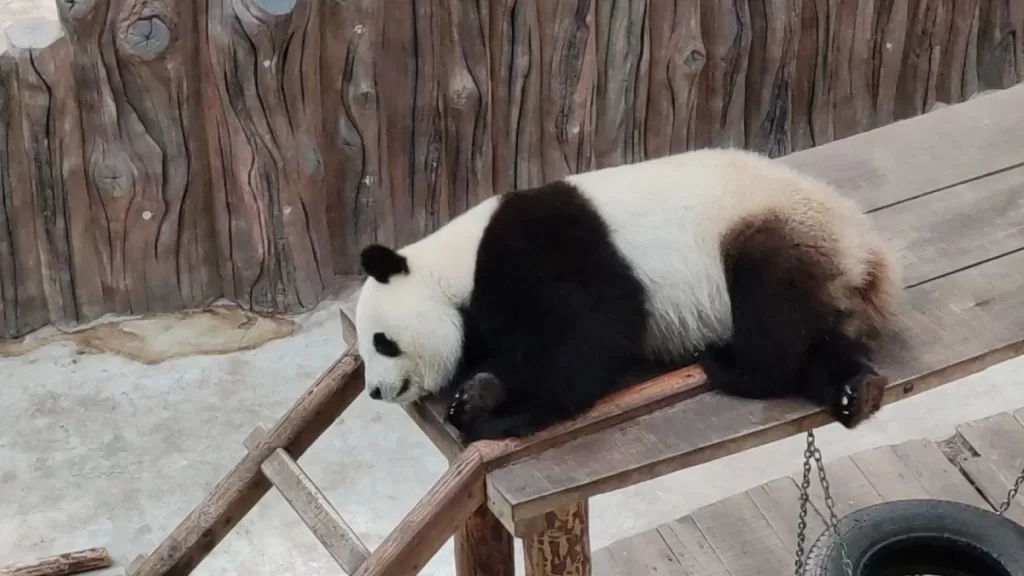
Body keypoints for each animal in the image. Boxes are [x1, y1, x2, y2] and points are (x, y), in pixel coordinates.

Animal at [354, 147, 901, 443]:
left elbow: (587, 339)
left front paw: (499, 415)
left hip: (775, 231)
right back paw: (856, 390)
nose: (376, 392)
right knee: (817, 340)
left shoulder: (545, 251)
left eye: (382, 342)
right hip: (825, 274)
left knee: (772, 310)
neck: (454, 266)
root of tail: (869, 257)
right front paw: (476, 395)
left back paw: (733, 366)